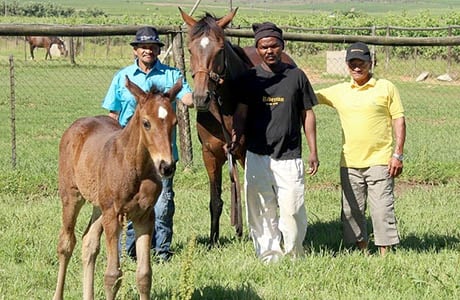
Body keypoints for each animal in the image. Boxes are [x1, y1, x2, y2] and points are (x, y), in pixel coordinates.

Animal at [53, 77, 181, 300]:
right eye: (146, 123)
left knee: (89, 243)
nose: (166, 166)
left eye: (174, 123)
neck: (134, 166)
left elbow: (144, 275)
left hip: (99, 207)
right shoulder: (113, 215)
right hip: (72, 196)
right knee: (66, 243)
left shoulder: (144, 217)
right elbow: (112, 276)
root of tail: (75, 126)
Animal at [179, 8, 294, 246]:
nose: (201, 98)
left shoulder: (246, 154)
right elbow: (215, 200)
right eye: (190, 49)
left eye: (220, 50)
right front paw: (213, 240)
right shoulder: (210, 155)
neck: (226, 108)